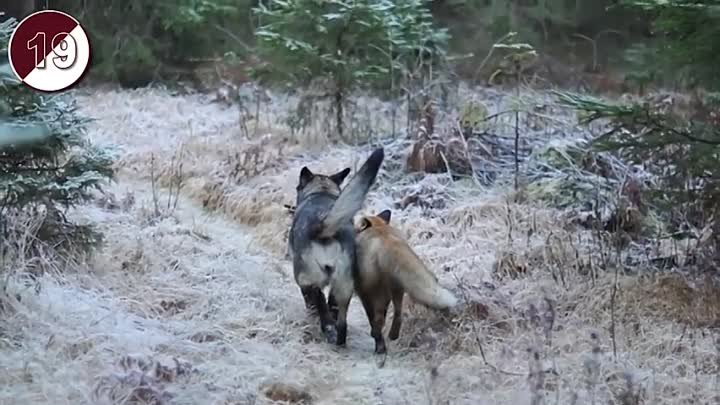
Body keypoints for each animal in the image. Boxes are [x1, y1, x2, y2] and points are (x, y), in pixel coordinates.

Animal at [352, 210, 458, 352]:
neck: (379, 227)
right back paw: (392, 336)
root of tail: (386, 241)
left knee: (378, 318)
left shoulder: (363, 292)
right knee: (397, 313)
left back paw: (378, 339)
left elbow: (372, 316)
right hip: (395, 288)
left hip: (372, 289)